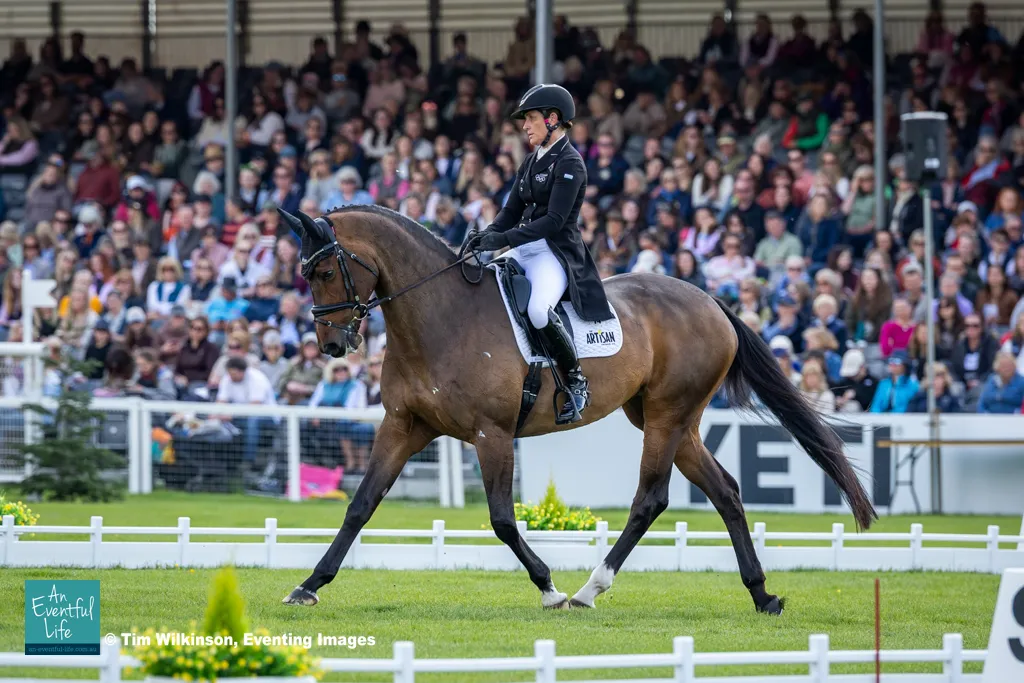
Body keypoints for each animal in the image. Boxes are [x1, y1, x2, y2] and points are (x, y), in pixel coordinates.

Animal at [277, 205, 877, 613]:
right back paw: (761, 594)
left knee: (650, 499)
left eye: (324, 272)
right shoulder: (404, 425)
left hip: (666, 417)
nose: (331, 346)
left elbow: (502, 519)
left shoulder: (492, 434)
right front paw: (308, 585)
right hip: (672, 421)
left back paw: (589, 589)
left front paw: (548, 587)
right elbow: (360, 506)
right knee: (726, 491)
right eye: (306, 274)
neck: (439, 317)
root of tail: (710, 301)